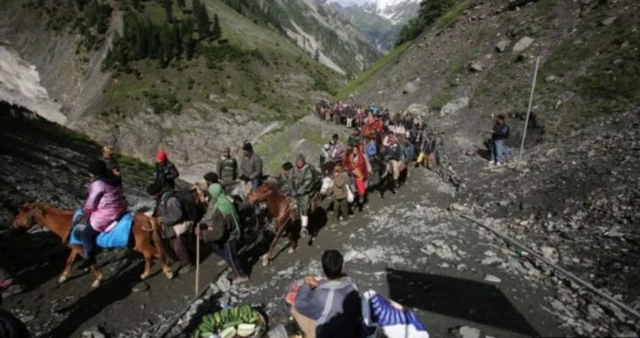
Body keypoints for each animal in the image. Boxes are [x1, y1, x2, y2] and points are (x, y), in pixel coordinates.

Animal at [14, 199, 175, 290]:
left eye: (21, 213)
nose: (14, 224)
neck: (68, 223)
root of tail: (147, 218)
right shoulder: (76, 248)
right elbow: (69, 261)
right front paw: (64, 277)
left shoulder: (83, 248)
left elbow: (91, 262)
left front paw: (98, 280)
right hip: (140, 245)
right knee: (149, 255)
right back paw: (145, 274)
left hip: (141, 244)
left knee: (157, 253)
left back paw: (167, 271)